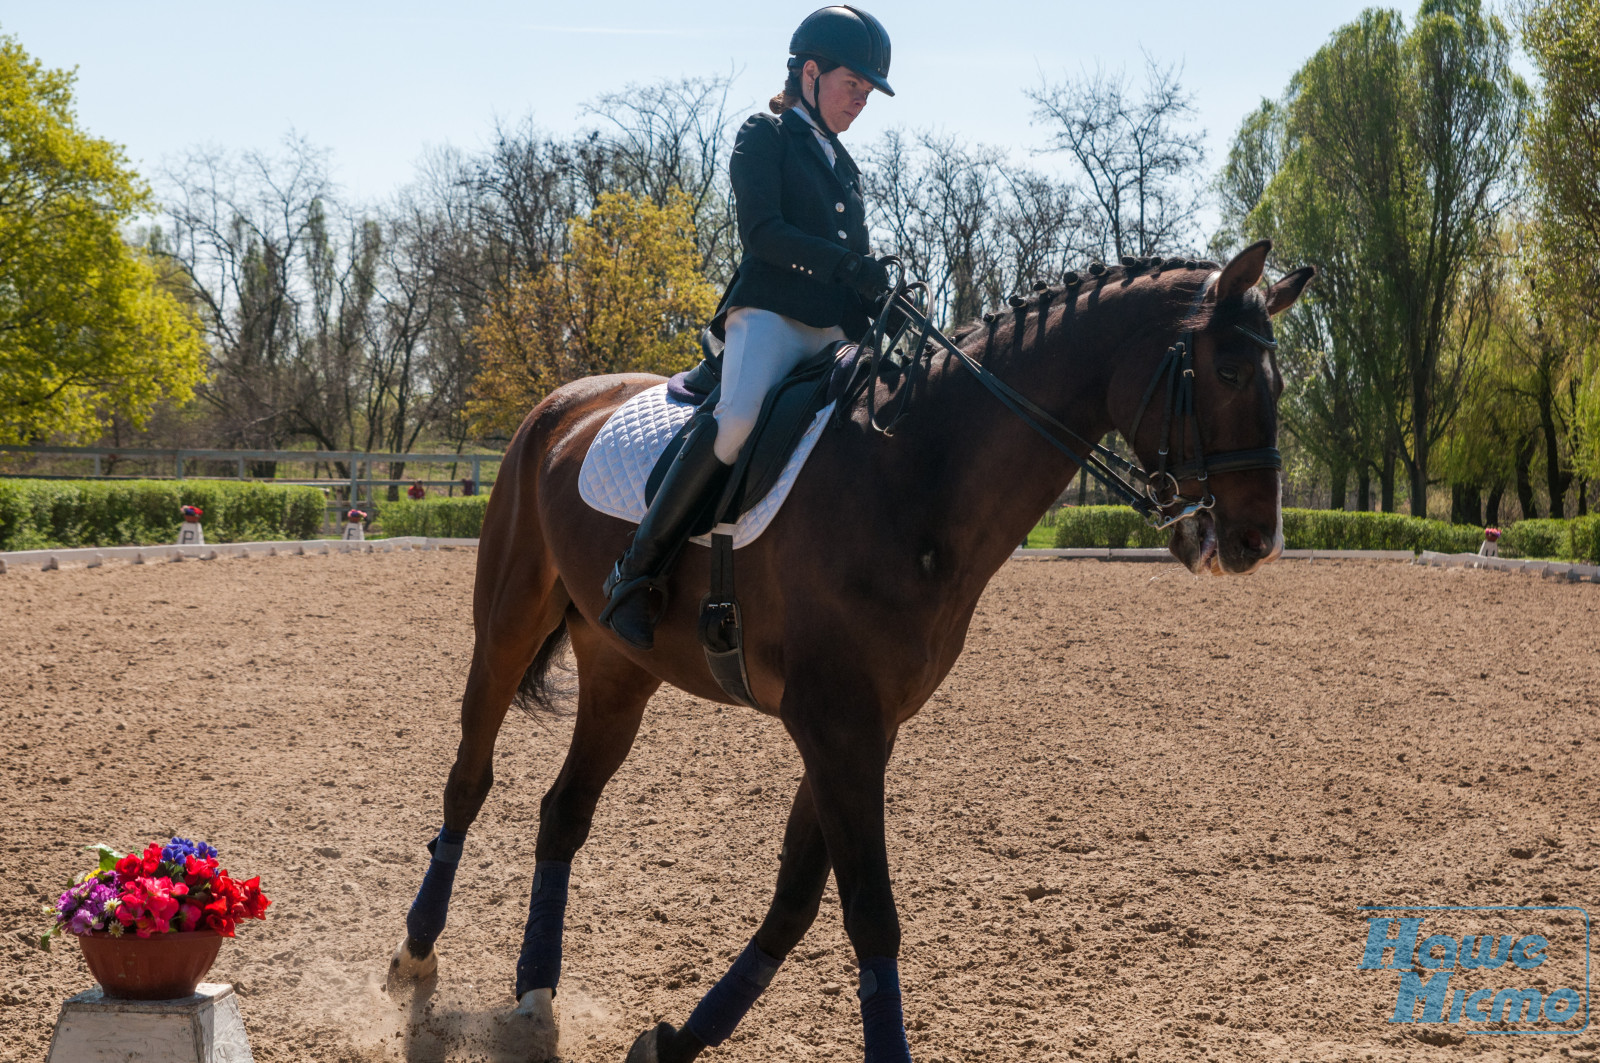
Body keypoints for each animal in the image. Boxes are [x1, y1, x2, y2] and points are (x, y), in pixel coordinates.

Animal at [387, 240, 1312, 1063]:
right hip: (507, 628)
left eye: (1277, 382)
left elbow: (797, 898)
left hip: (620, 669)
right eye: (1230, 374)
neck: (916, 472)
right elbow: (870, 909)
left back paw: (536, 993)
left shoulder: (864, 725)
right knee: (469, 778)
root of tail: (565, 402)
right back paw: (414, 957)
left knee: (564, 809)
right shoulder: (834, 723)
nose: (1255, 541)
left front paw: (677, 1040)